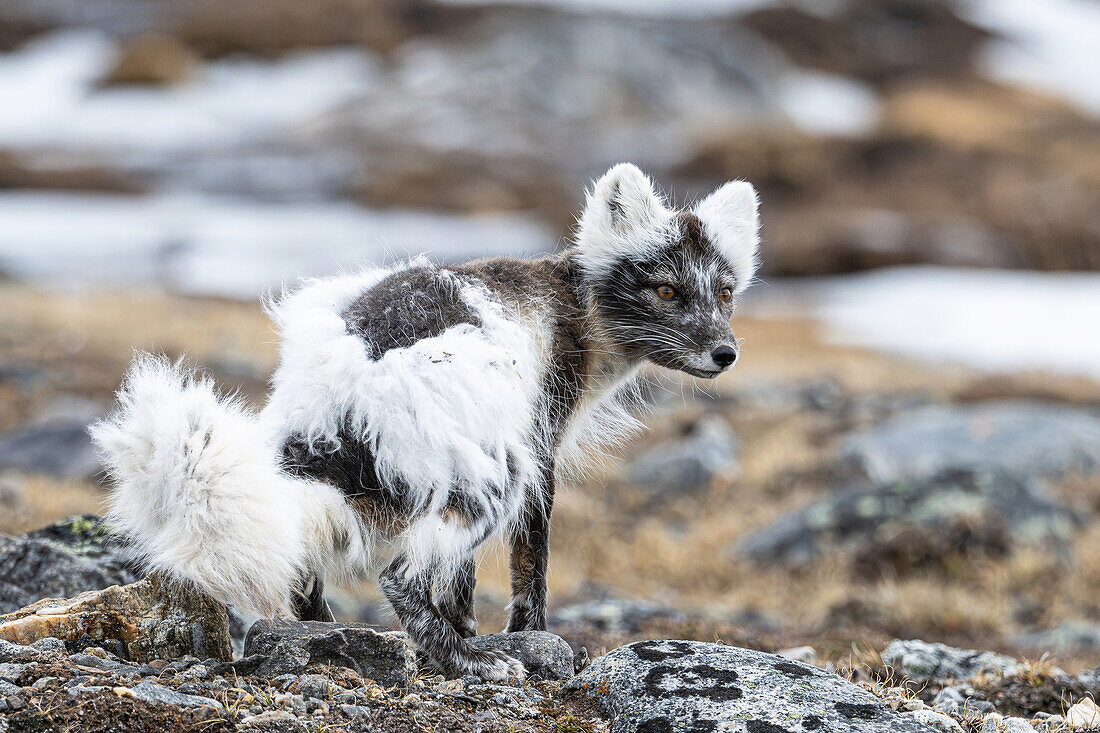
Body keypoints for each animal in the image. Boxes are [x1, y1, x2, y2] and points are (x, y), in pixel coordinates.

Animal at [92, 163, 756, 677]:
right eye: (667, 291)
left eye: (725, 292)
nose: (726, 354)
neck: (576, 309)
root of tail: (343, 399)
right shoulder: (539, 441)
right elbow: (530, 568)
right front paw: (523, 640)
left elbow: (460, 582)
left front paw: (466, 627)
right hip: (494, 473)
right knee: (399, 578)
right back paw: (464, 661)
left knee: (307, 574)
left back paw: (332, 638)